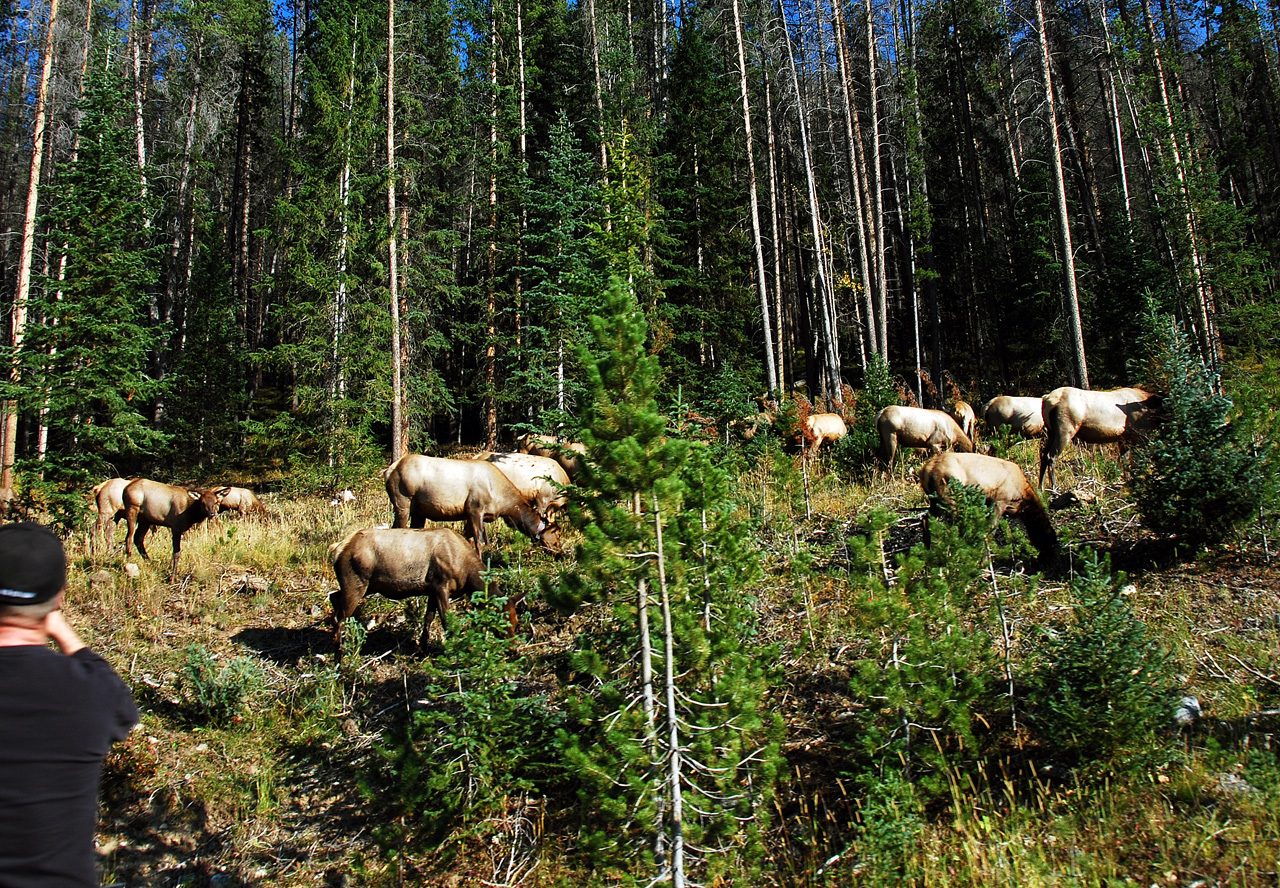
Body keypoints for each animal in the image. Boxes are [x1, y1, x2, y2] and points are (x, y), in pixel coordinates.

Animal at [327, 529, 512, 655]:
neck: (466, 575)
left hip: (367, 586)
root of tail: (336, 549)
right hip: (356, 583)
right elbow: (446, 621)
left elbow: (428, 617)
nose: (513, 648)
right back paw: (339, 656)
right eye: (503, 621)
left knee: (333, 596)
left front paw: (422, 648)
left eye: (515, 619)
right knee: (338, 617)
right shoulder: (441, 585)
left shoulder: (431, 589)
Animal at [376, 455, 542, 552]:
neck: (503, 504)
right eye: (549, 533)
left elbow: (470, 541)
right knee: (396, 529)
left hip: (418, 511)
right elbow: (479, 542)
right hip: (402, 503)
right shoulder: (474, 509)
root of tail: (388, 471)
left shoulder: (470, 514)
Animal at [921, 452, 1059, 562]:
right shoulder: (1000, 500)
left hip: (934, 499)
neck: (1022, 498)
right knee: (953, 526)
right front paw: (985, 562)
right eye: (1049, 543)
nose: (1048, 560)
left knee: (926, 519)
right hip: (950, 496)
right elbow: (991, 530)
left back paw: (928, 551)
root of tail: (927, 470)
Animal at [1034, 386, 1167, 491]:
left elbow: (1124, 460)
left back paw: (1041, 488)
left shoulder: (1124, 438)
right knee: (1051, 456)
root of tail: (1046, 399)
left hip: (1050, 432)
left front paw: (1127, 482)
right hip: (1065, 430)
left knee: (1043, 455)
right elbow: (1145, 459)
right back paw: (1054, 487)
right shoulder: (1142, 435)